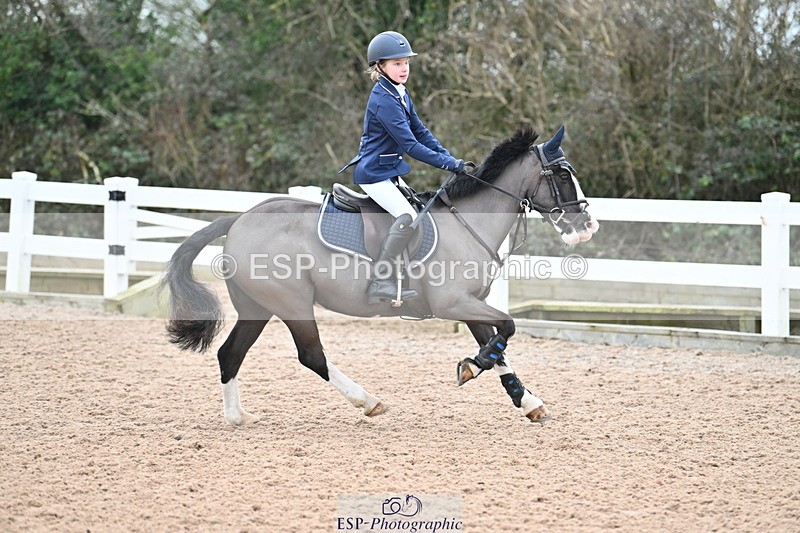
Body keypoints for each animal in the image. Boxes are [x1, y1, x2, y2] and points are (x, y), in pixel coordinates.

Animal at [162, 125, 599, 424]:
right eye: (563, 175)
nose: (587, 225)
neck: (468, 222)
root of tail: (239, 219)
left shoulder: (471, 303)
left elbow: (499, 345)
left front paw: (526, 400)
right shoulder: (453, 303)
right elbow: (507, 328)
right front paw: (471, 367)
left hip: (257, 307)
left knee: (230, 353)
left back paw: (238, 417)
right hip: (292, 303)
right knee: (311, 355)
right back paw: (368, 402)